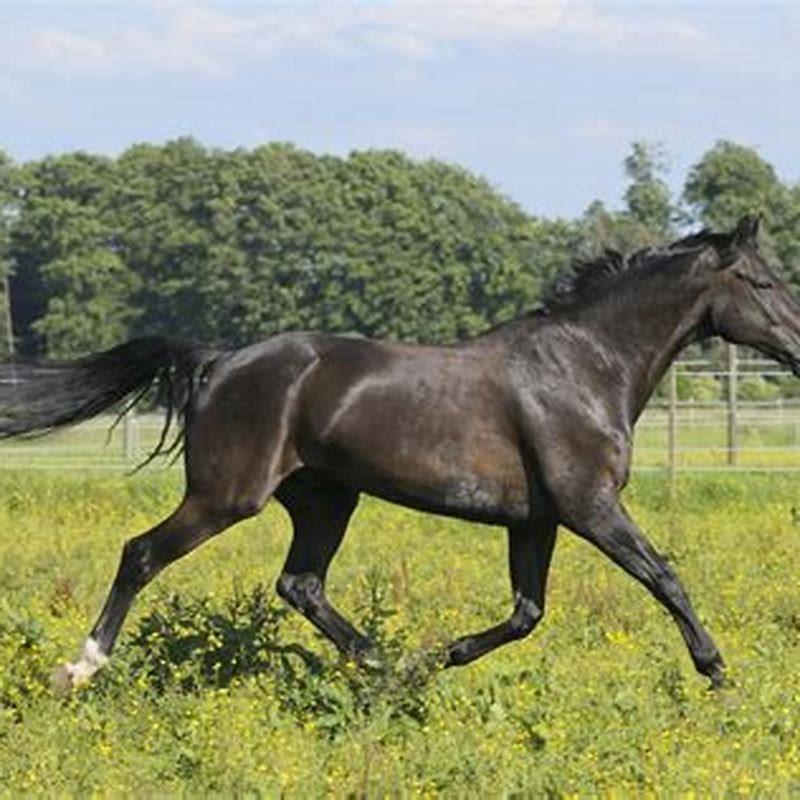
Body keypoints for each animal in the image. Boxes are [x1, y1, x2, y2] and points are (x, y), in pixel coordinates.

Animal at [1, 215, 798, 693]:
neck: (585, 365)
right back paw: (80, 668)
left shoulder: (535, 520)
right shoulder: (590, 506)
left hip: (325, 497)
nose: (797, 345)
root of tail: (219, 362)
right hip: (227, 495)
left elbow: (526, 613)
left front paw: (437, 658)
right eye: (764, 281)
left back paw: (387, 669)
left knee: (301, 585)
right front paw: (718, 674)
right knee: (142, 554)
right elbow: (664, 578)